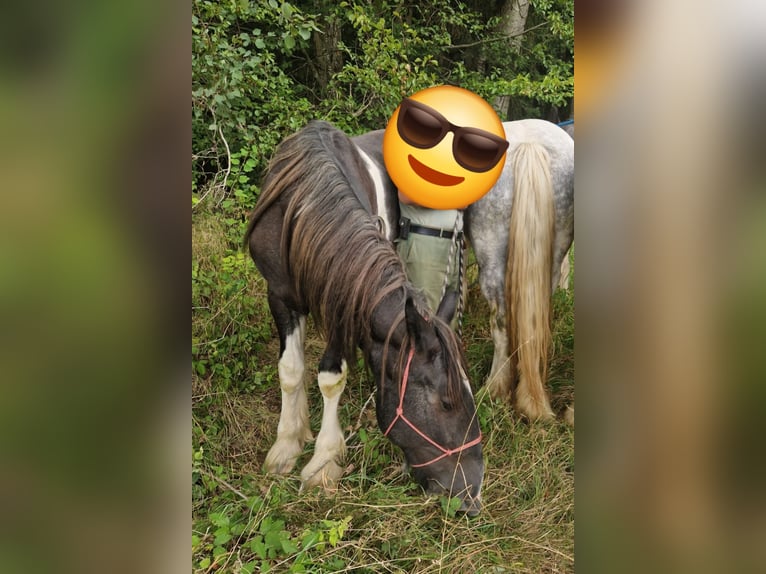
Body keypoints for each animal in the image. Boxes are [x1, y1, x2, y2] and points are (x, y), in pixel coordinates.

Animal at [246, 121, 484, 516]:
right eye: (447, 403)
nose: (472, 493)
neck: (306, 207)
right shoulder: (279, 295)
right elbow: (292, 370)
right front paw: (288, 445)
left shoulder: (344, 305)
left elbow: (330, 377)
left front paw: (323, 461)